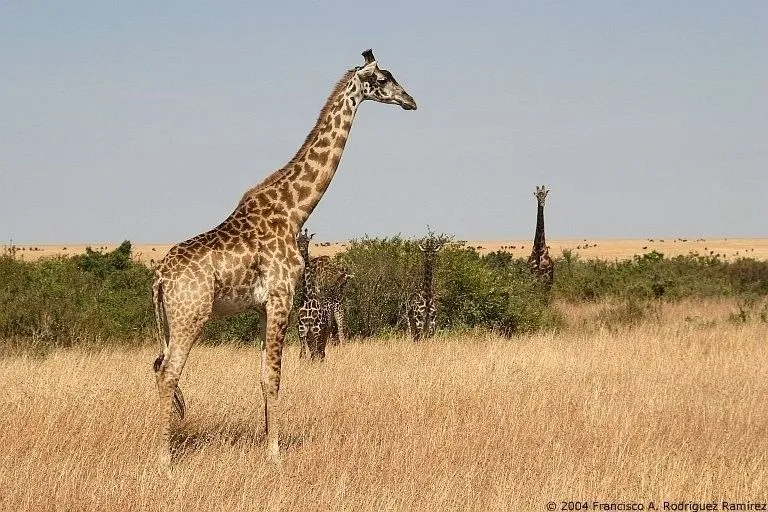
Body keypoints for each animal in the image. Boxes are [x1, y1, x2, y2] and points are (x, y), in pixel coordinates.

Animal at [149, 49, 414, 468]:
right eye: (385, 79)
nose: (411, 101)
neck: (294, 210)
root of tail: (159, 278)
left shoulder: (262, 306)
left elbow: (262, 375)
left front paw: (266, 443)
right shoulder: (280, 297)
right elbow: (274, 377)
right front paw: (275, 453)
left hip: (174, 318)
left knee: (160, 368)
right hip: (190, 314)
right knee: (169, 373)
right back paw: (165, 459)